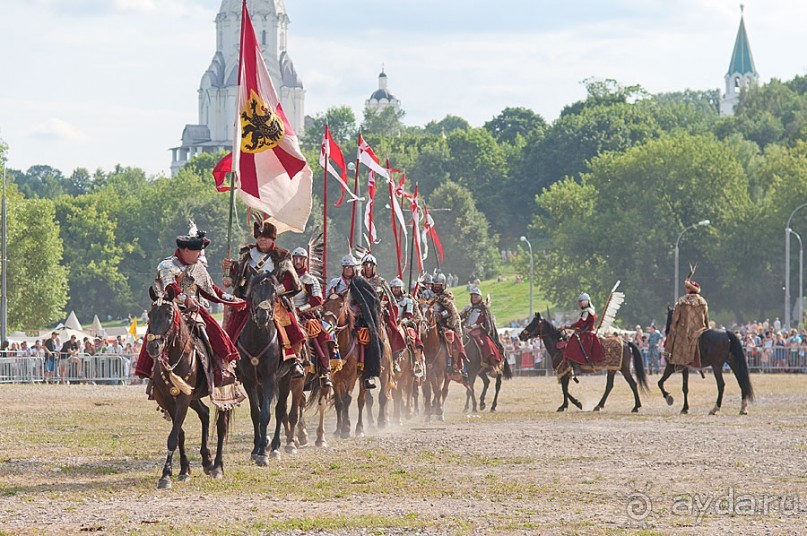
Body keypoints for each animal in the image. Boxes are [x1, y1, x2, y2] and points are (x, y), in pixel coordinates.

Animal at [146, 286, 230, 488]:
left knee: (221, 426)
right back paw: (207, 460)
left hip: (222, 395)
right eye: (150, 314)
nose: (153, 347)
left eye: (169, 314)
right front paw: (183, 470)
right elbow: (179, 435)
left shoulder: (183, 399)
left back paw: (217, 466)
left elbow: (173, 437)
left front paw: (165, 475)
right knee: (205, 413)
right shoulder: (170, 399)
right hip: (194, 397)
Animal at [516, 312, 652, 412]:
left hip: (623, 369)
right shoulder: (565, 371)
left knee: (632, 384)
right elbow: (565, 388)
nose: (521, 335)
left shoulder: (564, 370)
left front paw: (571, 405)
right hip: (612, 369)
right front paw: (570, 404)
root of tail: (625, 341)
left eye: (533, 323)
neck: (558, 346)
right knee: (610, 386)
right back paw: (599, 406)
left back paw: (636, 407)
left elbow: (564, 389)